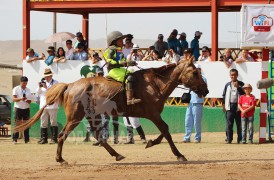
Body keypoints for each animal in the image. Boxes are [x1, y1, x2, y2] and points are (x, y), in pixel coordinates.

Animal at [15, 58, 208, 165]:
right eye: (194, 72)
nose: (205, 90)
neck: (154, 84)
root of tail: (70, 85)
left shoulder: (153, 115)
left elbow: (164, 131)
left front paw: (150, 142)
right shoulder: (153, 114)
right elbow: (166, 131)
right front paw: (179, 155)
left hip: (92, 116)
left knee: (98, 136)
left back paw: (117, 155)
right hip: (76, 118)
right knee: (62, 135)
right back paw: (60, 159)